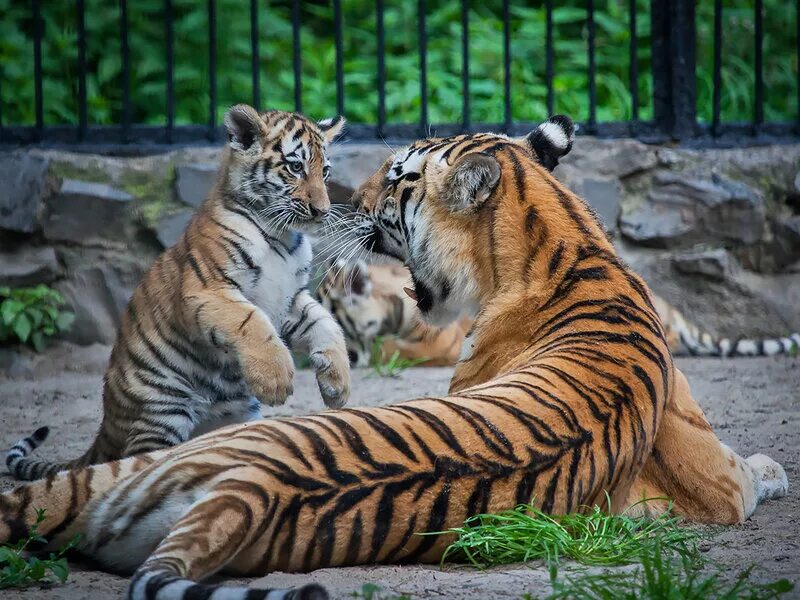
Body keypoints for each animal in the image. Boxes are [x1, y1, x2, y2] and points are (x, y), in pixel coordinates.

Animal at [0, 117, 788, 600]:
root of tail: (251, 492)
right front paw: (776, 470)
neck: (570, 245)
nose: (345, 200)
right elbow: (750, 470)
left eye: (401, 176)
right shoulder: (711, 474)